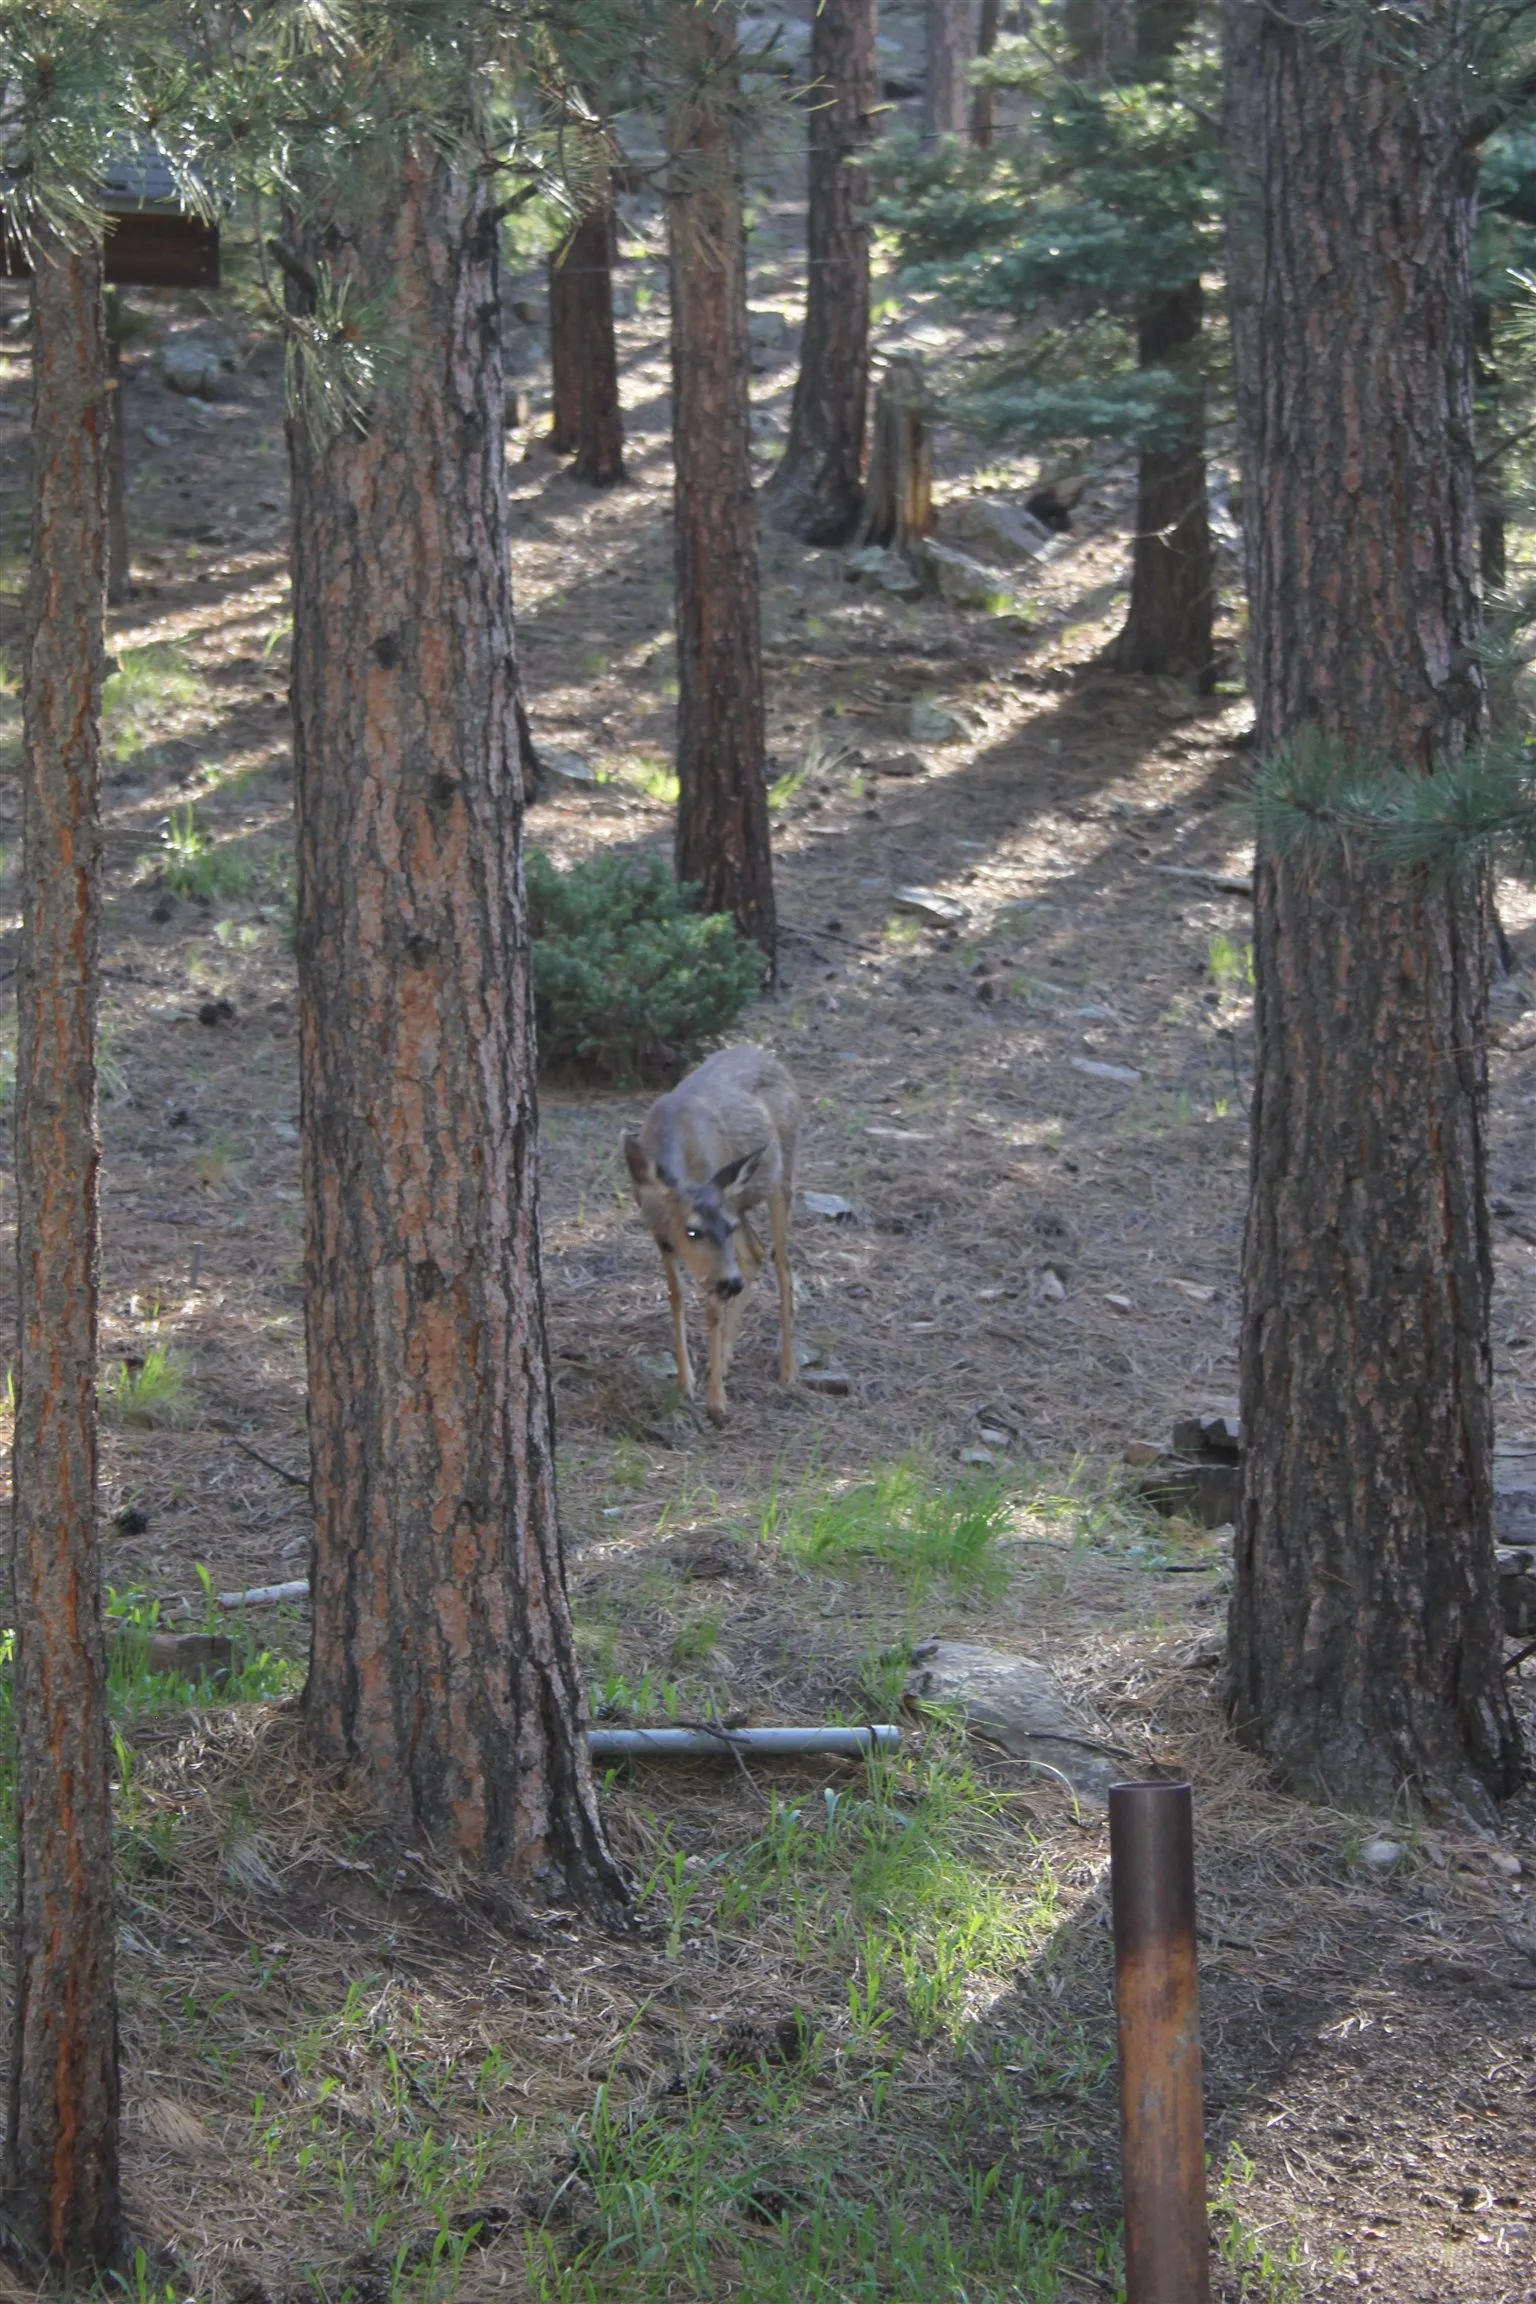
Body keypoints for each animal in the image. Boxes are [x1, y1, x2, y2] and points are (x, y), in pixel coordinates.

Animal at [622, 1045, 800, 1423]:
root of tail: (771, 1057)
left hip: (781, 1177)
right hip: (741, 1201)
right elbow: (675, 1297)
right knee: (755, 1253)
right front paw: (685, 1383)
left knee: (781, 1261)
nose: (730, 1283)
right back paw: (730, 1354)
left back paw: (788, 1369)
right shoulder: (661, 1238)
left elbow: (711, 1312)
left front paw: (717, 1402)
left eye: (725, 1227)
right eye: (692, 1230)